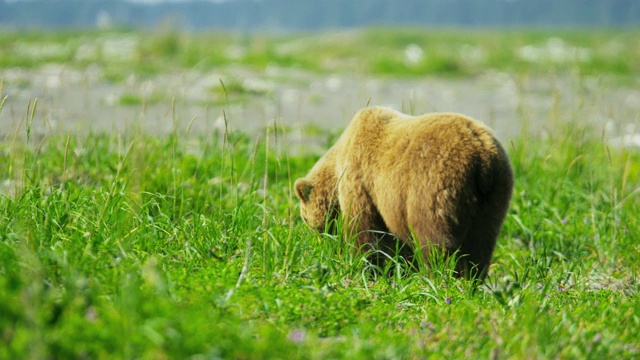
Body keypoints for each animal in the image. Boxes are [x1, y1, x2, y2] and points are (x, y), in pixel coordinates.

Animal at [296, 107, 516, 282]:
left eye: (304, 218)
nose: (318, 237)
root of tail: (482, 157)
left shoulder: (360, 181)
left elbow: (364, 230)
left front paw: (363, 267)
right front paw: (400, 269)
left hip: (433, 185)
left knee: (435, 239)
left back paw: (438, 278)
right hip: (494, 196)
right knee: (481, 242)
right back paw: (471, 281)